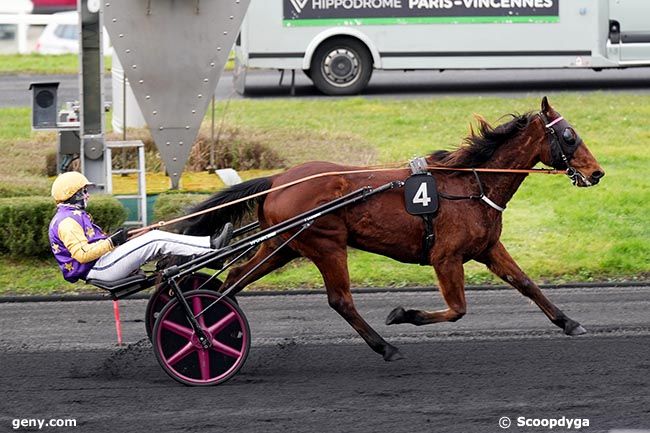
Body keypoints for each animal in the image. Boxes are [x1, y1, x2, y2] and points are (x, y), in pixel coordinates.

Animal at [178, 98, 604, 362]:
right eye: (569, 135)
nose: (597, 172)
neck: (472, 183)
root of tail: (279, 179)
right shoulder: (446, 257)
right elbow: (458, 309)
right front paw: (403, 314)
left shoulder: (487, 247)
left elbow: (526, 283)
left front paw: (570, 322)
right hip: (326, 245)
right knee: (340, 300)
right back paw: (385, 347)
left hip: (284, 245)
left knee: (233, 278)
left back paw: (214, 327)